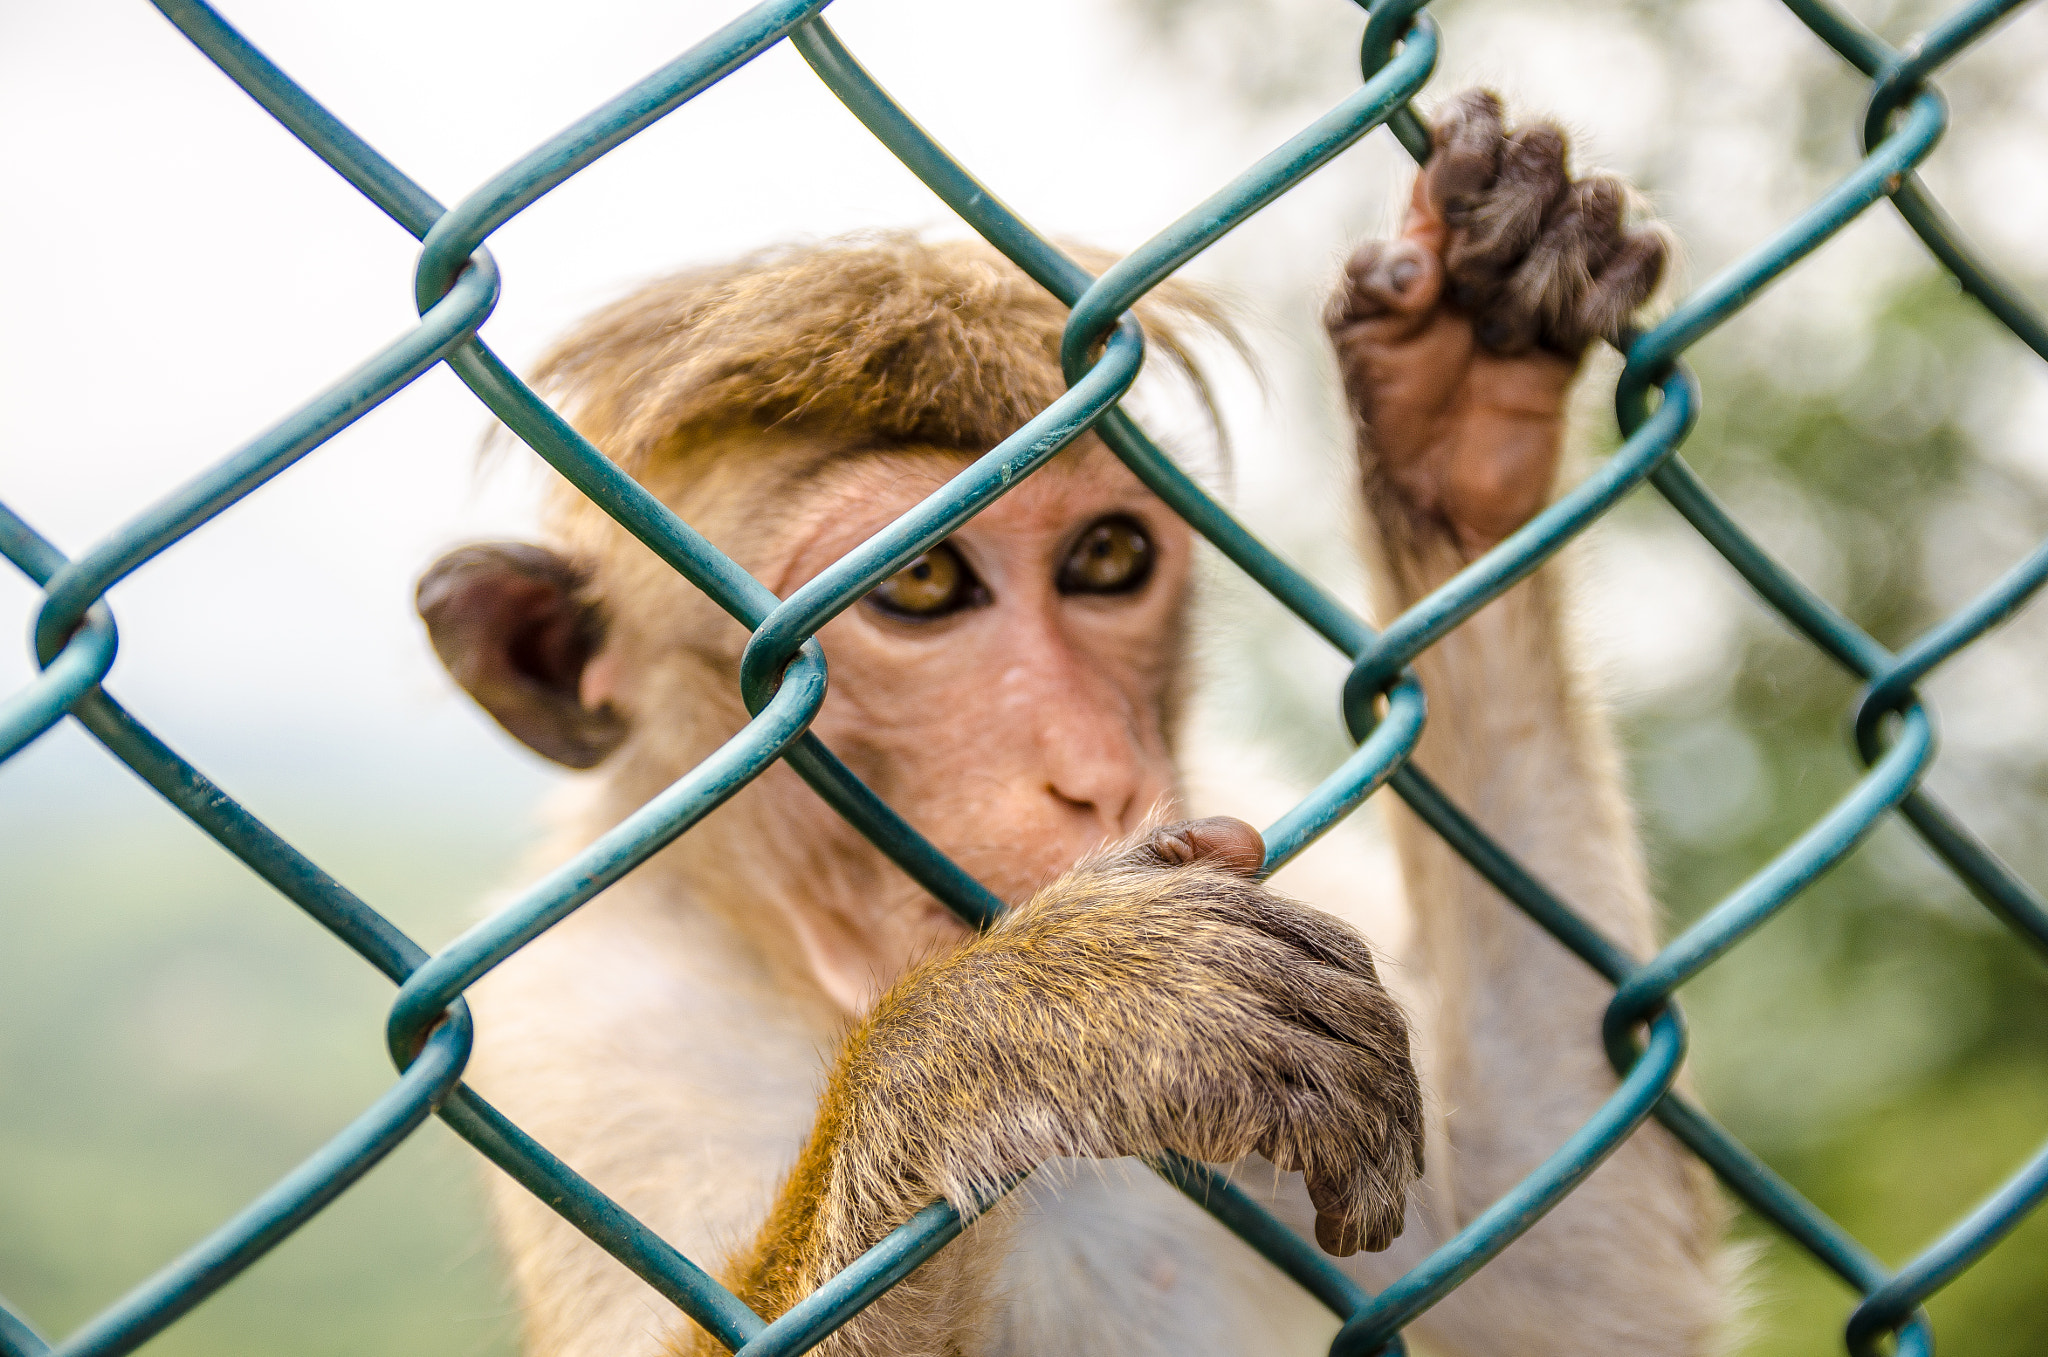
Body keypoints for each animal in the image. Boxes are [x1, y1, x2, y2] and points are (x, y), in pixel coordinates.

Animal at [417, 91, 1729, 1357]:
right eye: (923, 583)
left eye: (1104, 559)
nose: (1100, 772)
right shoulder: (586, 1041)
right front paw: (1035, 1020)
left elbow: (1577, 1307)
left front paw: (1460, 389)